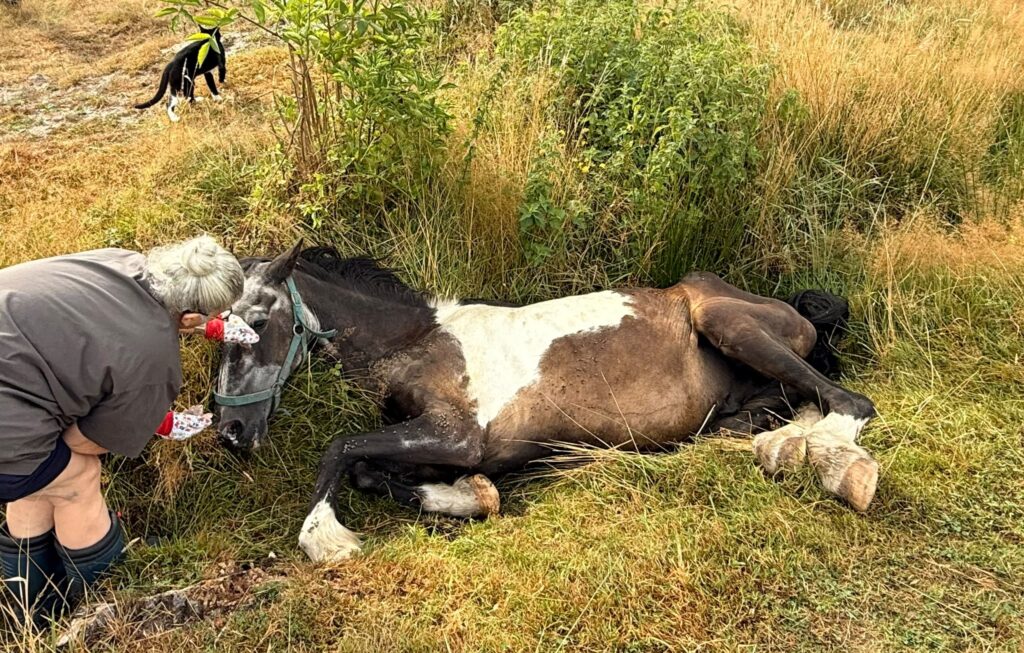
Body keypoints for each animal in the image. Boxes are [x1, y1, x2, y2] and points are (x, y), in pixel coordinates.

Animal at [213, 242, 879, 562]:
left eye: (256, 322)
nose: (231, 432)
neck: (417, 342)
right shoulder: (428, 443)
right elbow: (369, 471)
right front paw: (471, 497)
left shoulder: (460, 435)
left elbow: (341, 449)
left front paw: (324, 538)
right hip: (745, 388)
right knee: (784, 410)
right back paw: (783, 448)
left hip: (727, 322)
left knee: (850, 401)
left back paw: (839, 467)